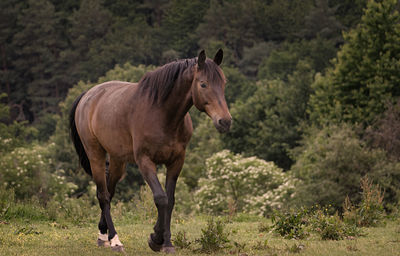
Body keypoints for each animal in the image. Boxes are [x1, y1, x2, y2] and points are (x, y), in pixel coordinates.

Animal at [69, 49, 231, 252]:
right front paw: (155, 239)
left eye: (223, 83)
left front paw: (167, 243)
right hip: (95, 155)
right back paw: (115, 240)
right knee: (103, 195)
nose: (225, 121)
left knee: (109, 191)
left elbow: (170, 201)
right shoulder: (145, 161)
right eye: (203, 84)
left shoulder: (176, 162)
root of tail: (87, 95)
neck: (161, 114)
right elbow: (160, 198)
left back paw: (103, 235)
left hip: (117, 160)